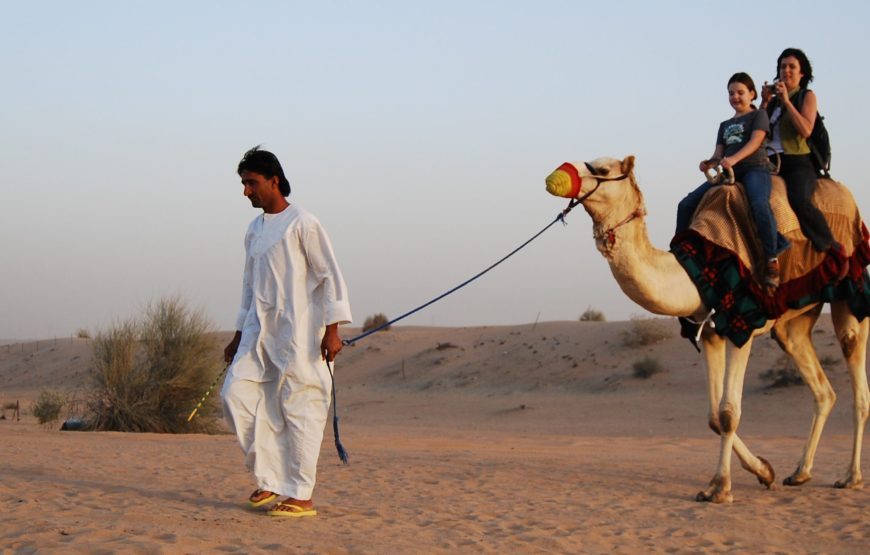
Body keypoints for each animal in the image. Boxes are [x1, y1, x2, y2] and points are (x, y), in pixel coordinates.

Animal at [548, 155, 868, 504]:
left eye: (603, 170)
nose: (559, 175)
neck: (698, 268)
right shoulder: (710, 331)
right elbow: (714, 417)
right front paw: (764, 471)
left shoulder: (743, 323)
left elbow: (729, 412)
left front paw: (720, 487)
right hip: (795, 320)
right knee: (821, 387)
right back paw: (800, 473)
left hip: (851, 288)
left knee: (857, 376)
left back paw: (850, 477)